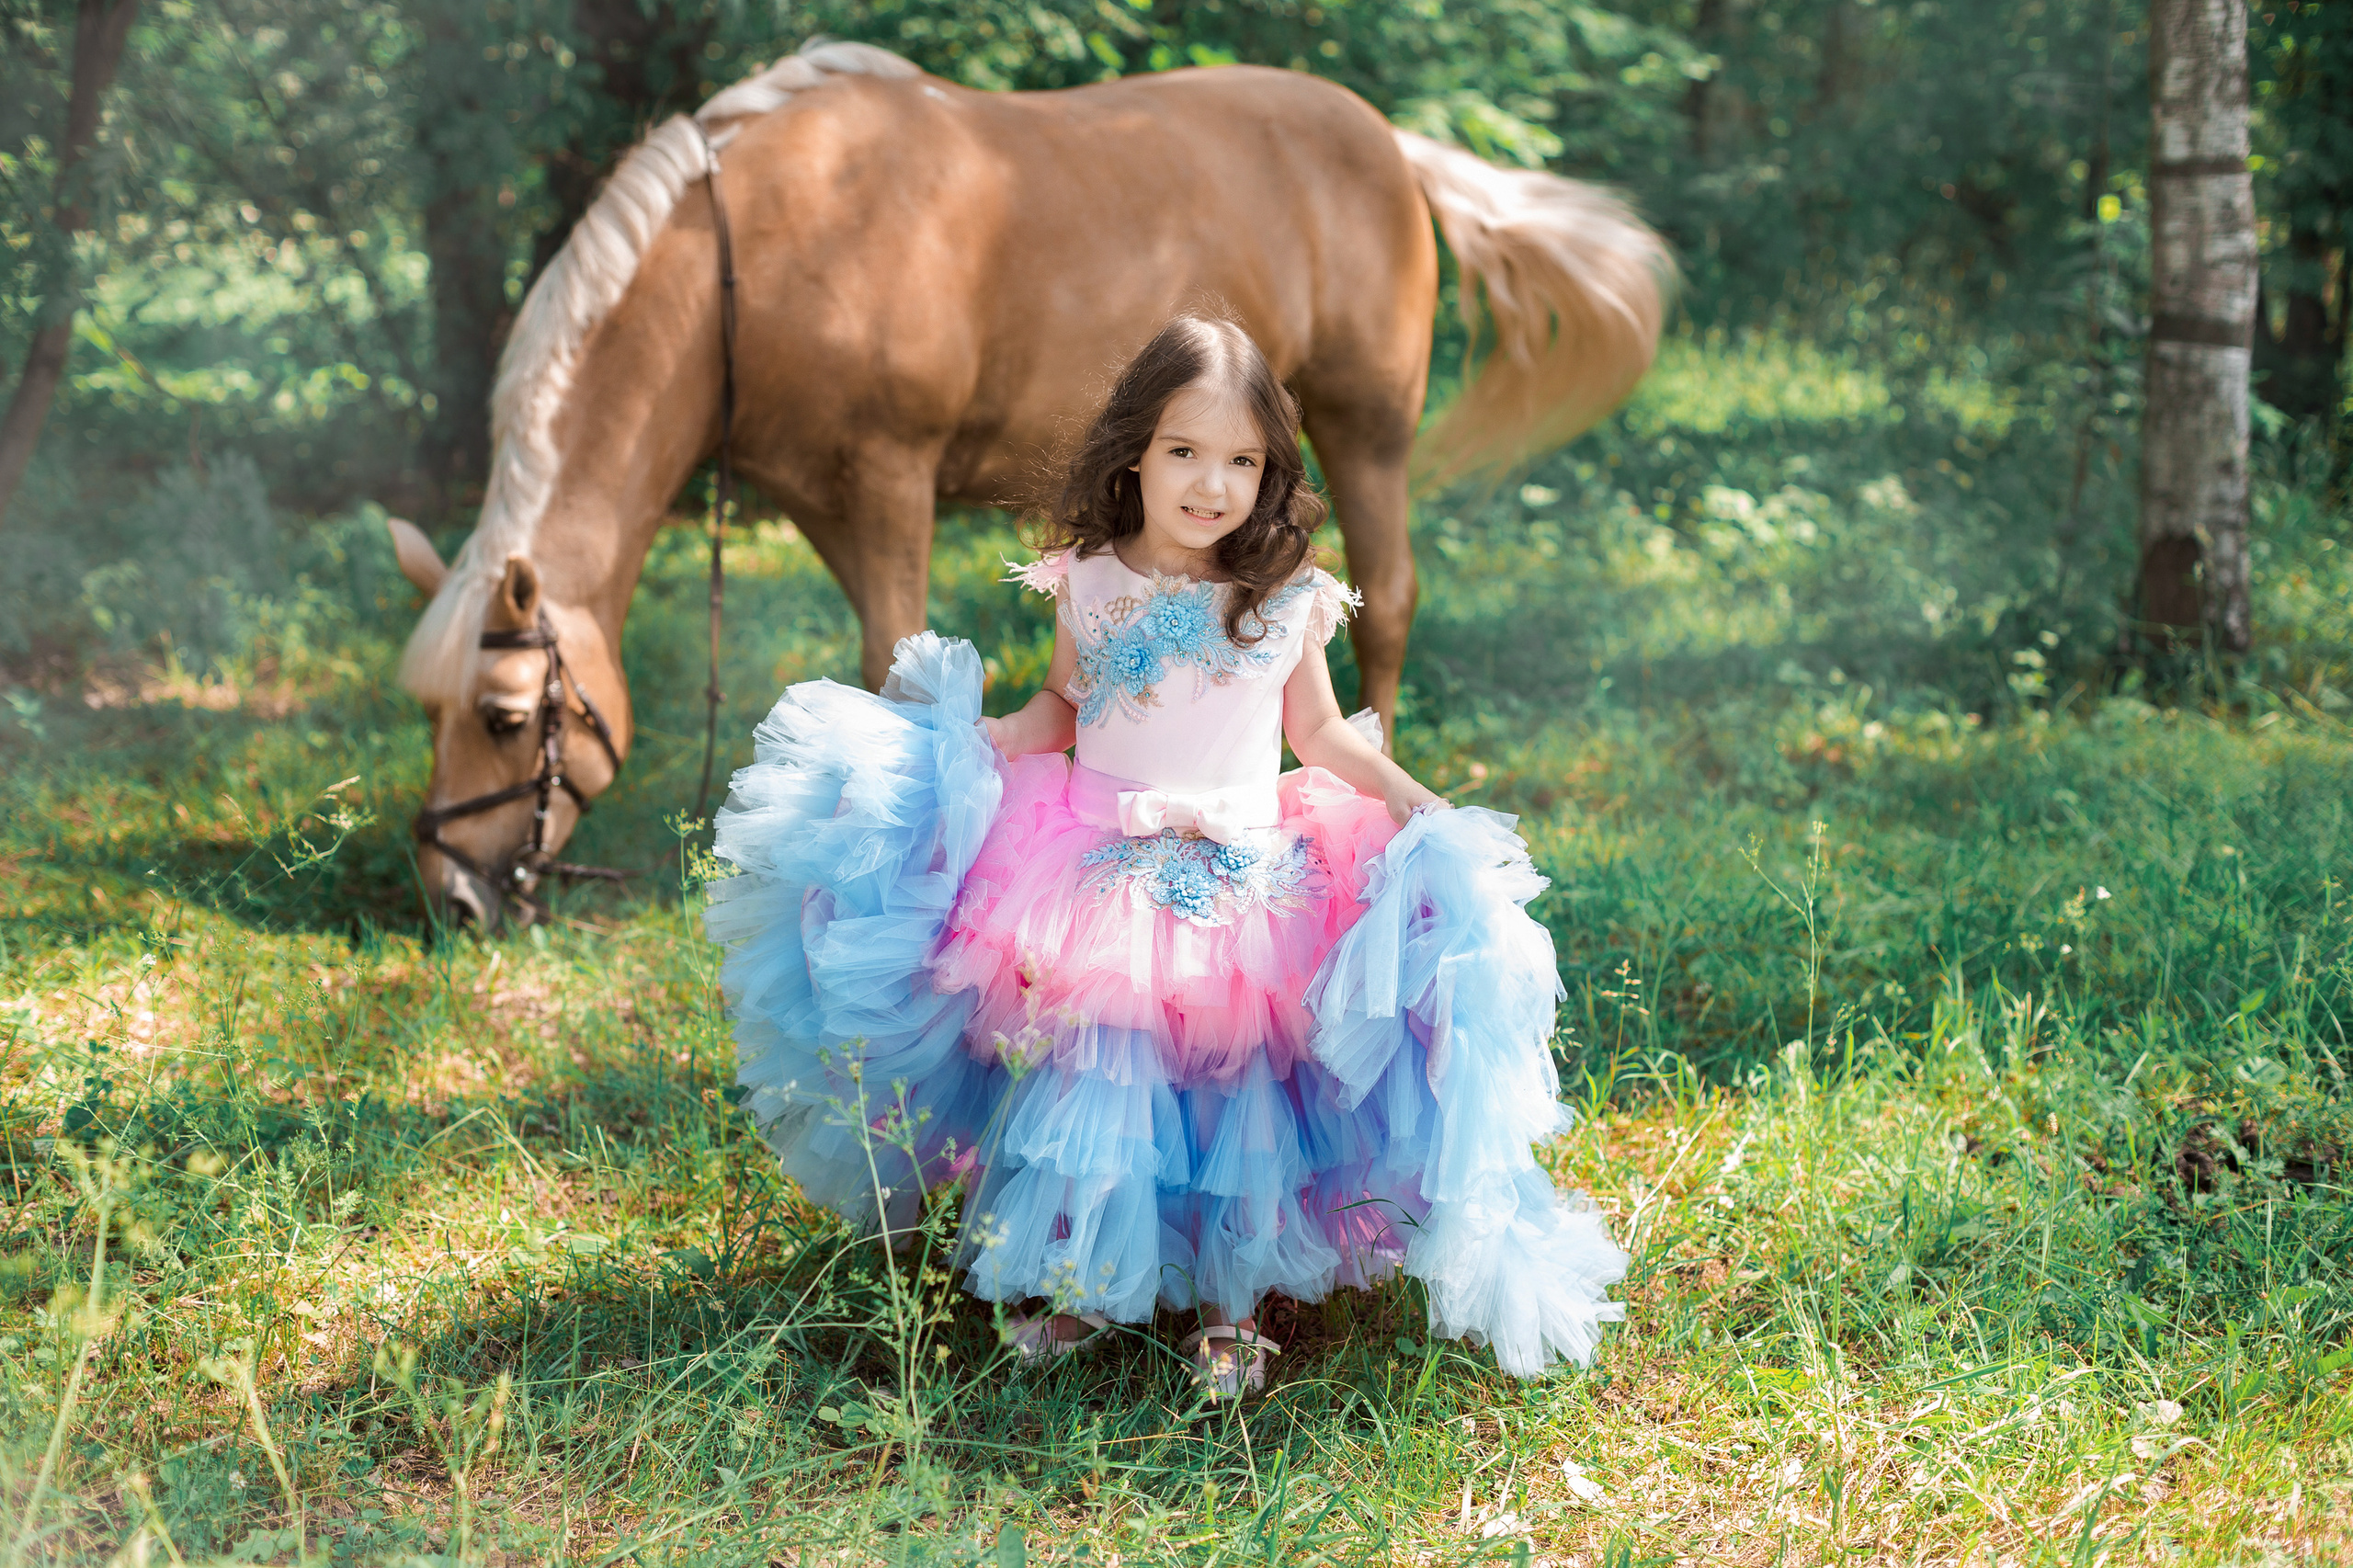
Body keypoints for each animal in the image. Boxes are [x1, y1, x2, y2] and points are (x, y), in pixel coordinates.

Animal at [388, 40, 1670, 927]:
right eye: (429, 714)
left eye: (506, 717)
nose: (450, 896)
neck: (754, 252)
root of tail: (1392, 142)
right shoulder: (822, 497)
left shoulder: (888, 475)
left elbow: (891, 662)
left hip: (1369, 428)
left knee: (1389, 601)